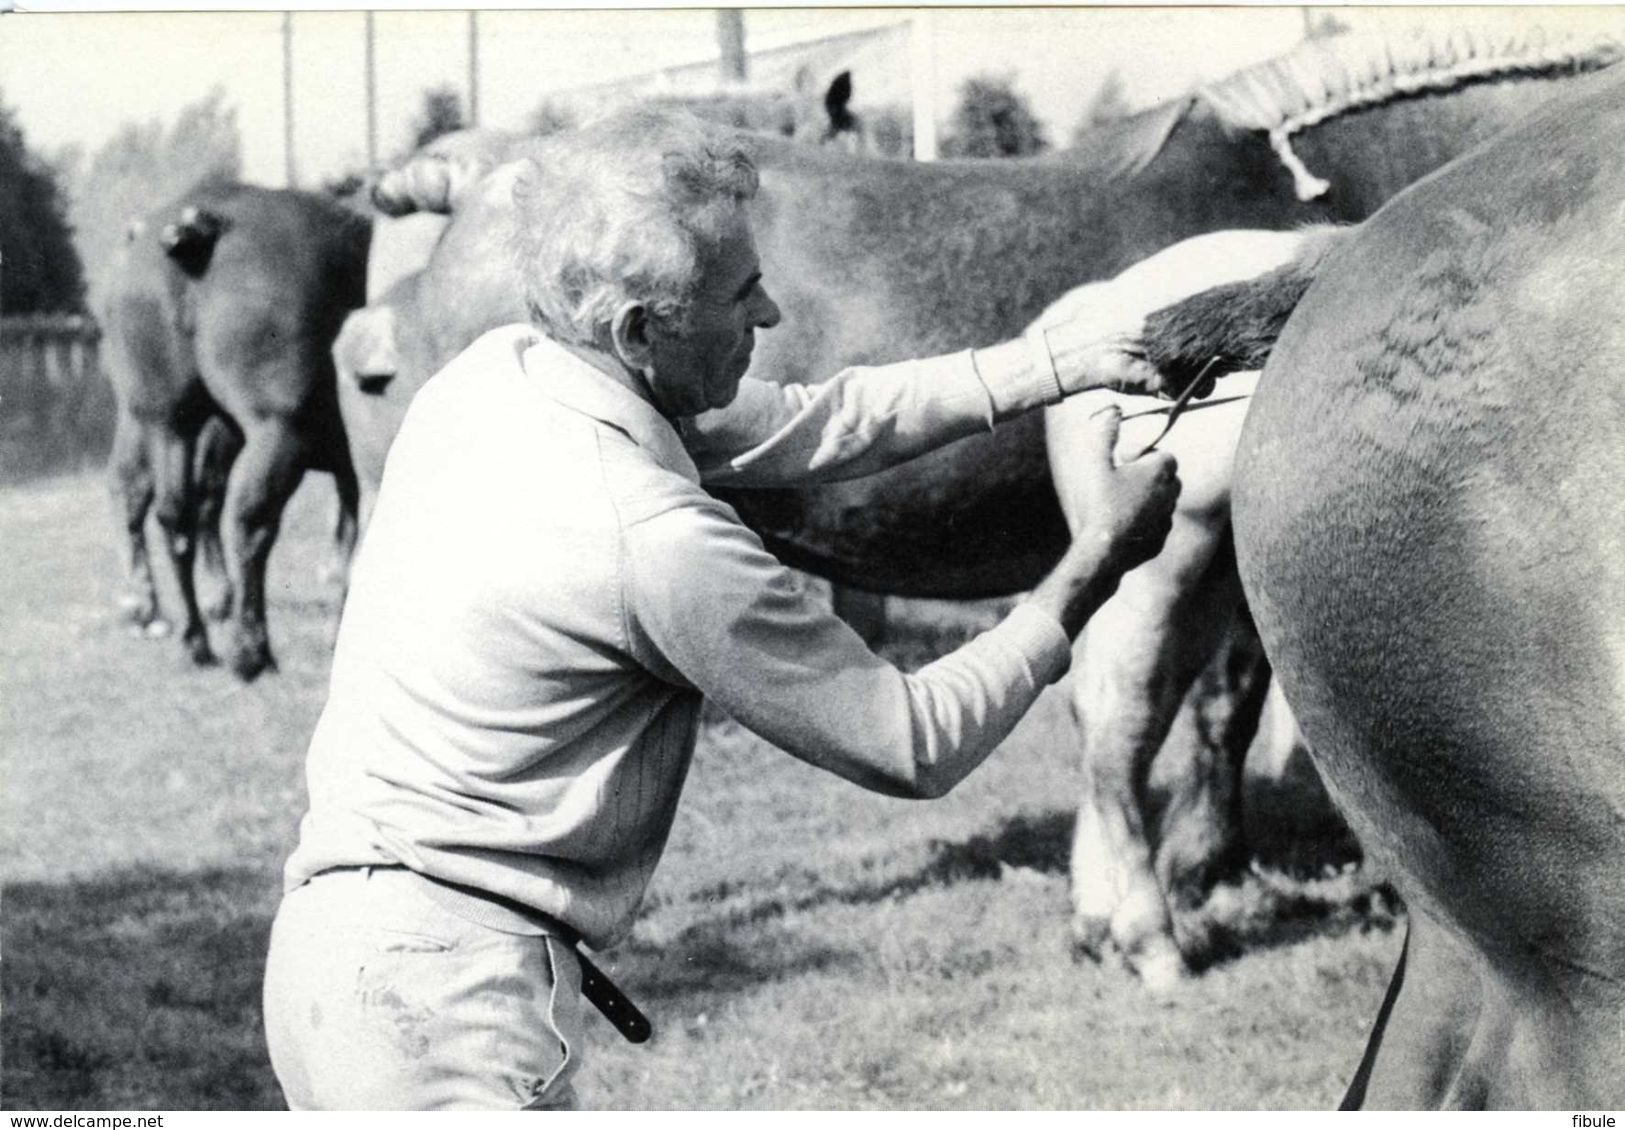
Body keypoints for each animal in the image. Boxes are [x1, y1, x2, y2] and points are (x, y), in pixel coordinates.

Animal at [106, 178, 372, 679]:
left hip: (165, 421)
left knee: (171, 510)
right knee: (247, 518)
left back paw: (193, 637)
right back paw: (250, 650)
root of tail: (201, 226)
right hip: (277, 430)